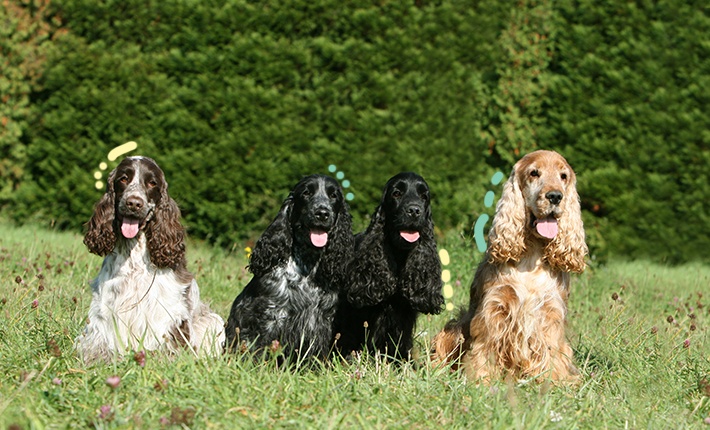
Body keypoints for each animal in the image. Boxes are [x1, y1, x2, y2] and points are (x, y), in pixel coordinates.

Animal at [225, 175, 354, 360]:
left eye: (334, 196)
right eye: (306, 193)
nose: (322, 213)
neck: (308, 263)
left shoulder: (322, 320)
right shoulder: (270, 316)